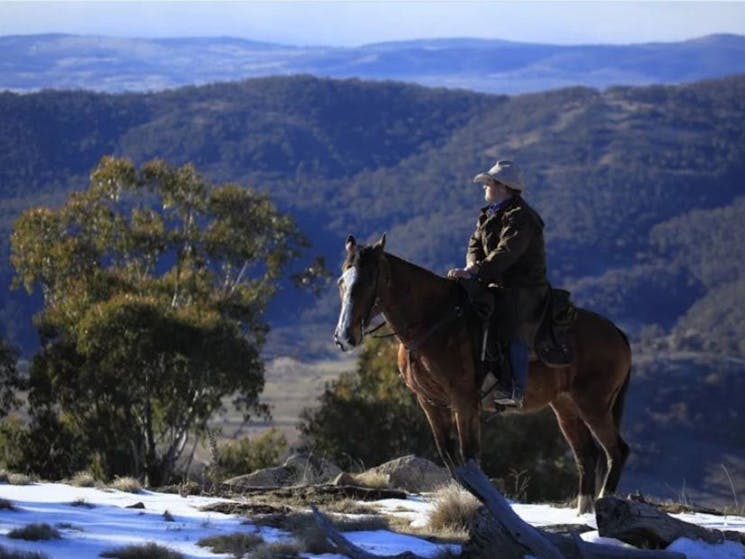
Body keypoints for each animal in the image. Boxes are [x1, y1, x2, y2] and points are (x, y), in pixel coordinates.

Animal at [334, 234, 632, 516]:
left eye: (368, 281)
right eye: (341, 282)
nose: (344, 337)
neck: (434, 320)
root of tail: (617, 332)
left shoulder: (464, 401)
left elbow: (469, 457)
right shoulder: (429, 402)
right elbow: (449, 456)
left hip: (594, 405)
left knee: (616, 451)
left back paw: (604, 505)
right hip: (566, 407)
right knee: (587, 455)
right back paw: (584, 513)